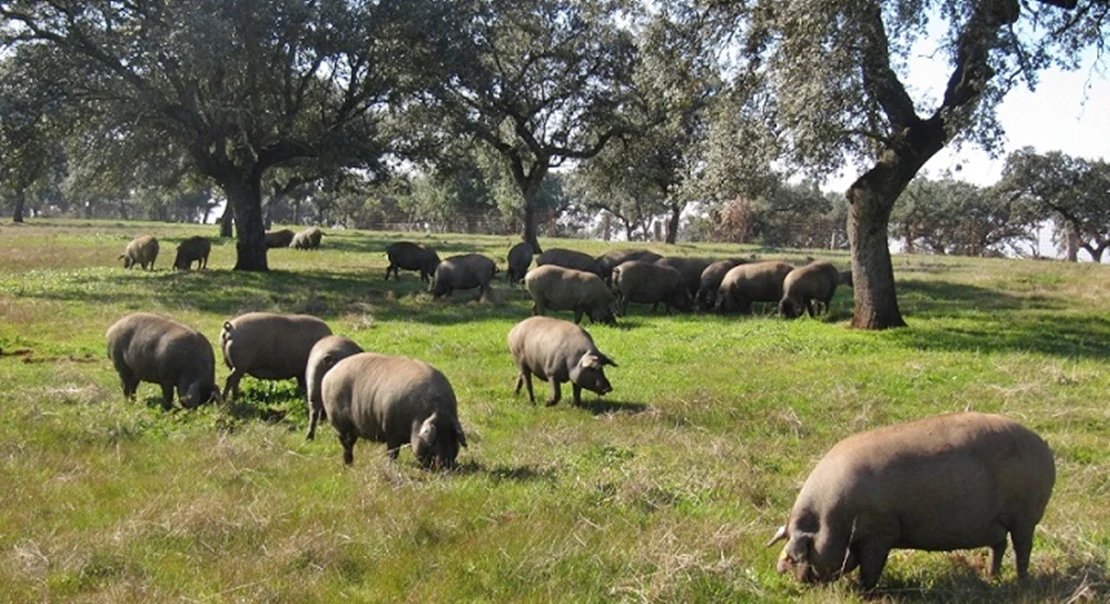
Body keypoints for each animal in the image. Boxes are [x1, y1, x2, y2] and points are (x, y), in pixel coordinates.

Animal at [319, 350, 466, 468]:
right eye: (434, 440)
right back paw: (348, 465)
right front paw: (391, 466)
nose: (446, 465)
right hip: (340, 424)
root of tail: (329, 374)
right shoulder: (391, 431)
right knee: (347, 445)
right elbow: (392, 452)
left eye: (453, 439)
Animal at [768, 410, 1052, 590]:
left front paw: (864, 592)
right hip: (996, 523)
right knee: (999, 545)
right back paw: (993, 579)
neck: (833, 521)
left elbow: (870, 569)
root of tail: (1044, 446)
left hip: (1025, 516)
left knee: (1022, 547)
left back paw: (1021, 582)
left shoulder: (880, 534)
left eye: (796, 555)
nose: (782, 572)